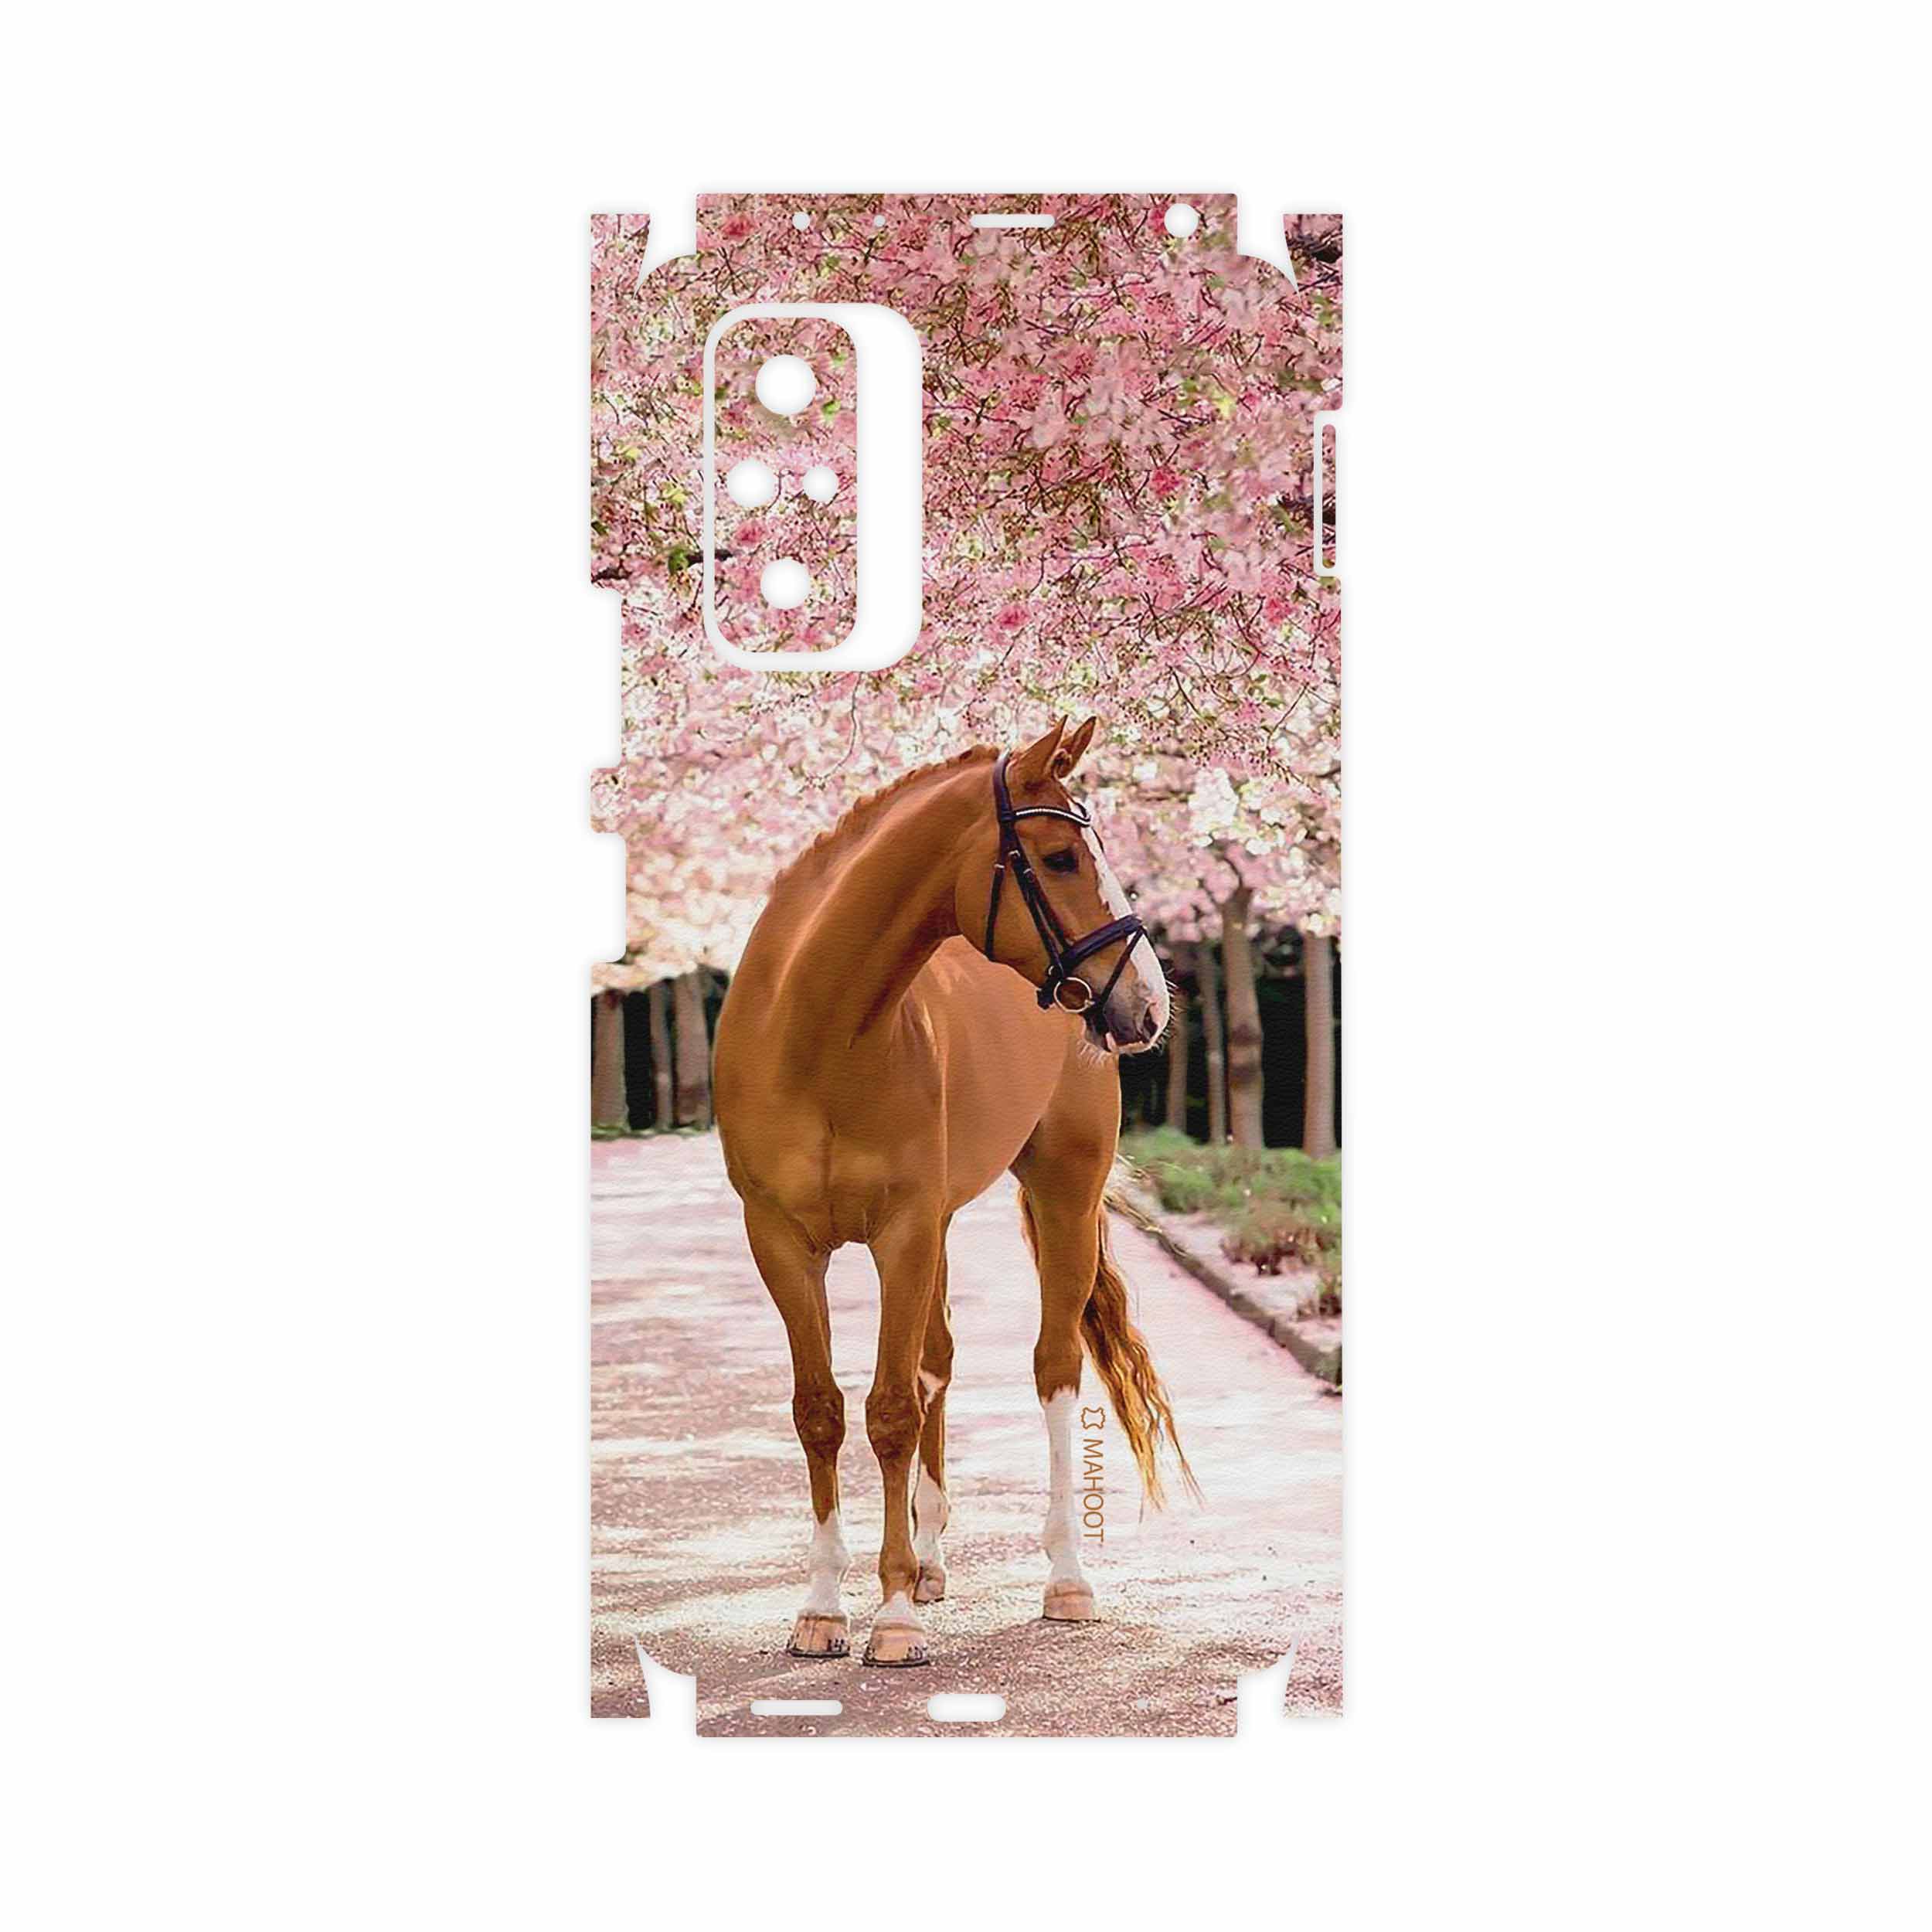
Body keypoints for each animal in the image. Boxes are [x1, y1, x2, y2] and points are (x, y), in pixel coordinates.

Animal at [712, 716, 1193, 1667]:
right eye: (1058, 857)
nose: (1150, 1004)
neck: (816, 1033)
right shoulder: (782, 1241)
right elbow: (821, 1411)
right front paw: (823, 1608)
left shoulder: (901, 1232)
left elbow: (892, 1410)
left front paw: (892, 1617)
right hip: (937, 1227)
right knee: (937, 1361)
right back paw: (931, 1562)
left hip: (1062, 1193)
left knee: (1052, 1368)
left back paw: (1064, 1579)